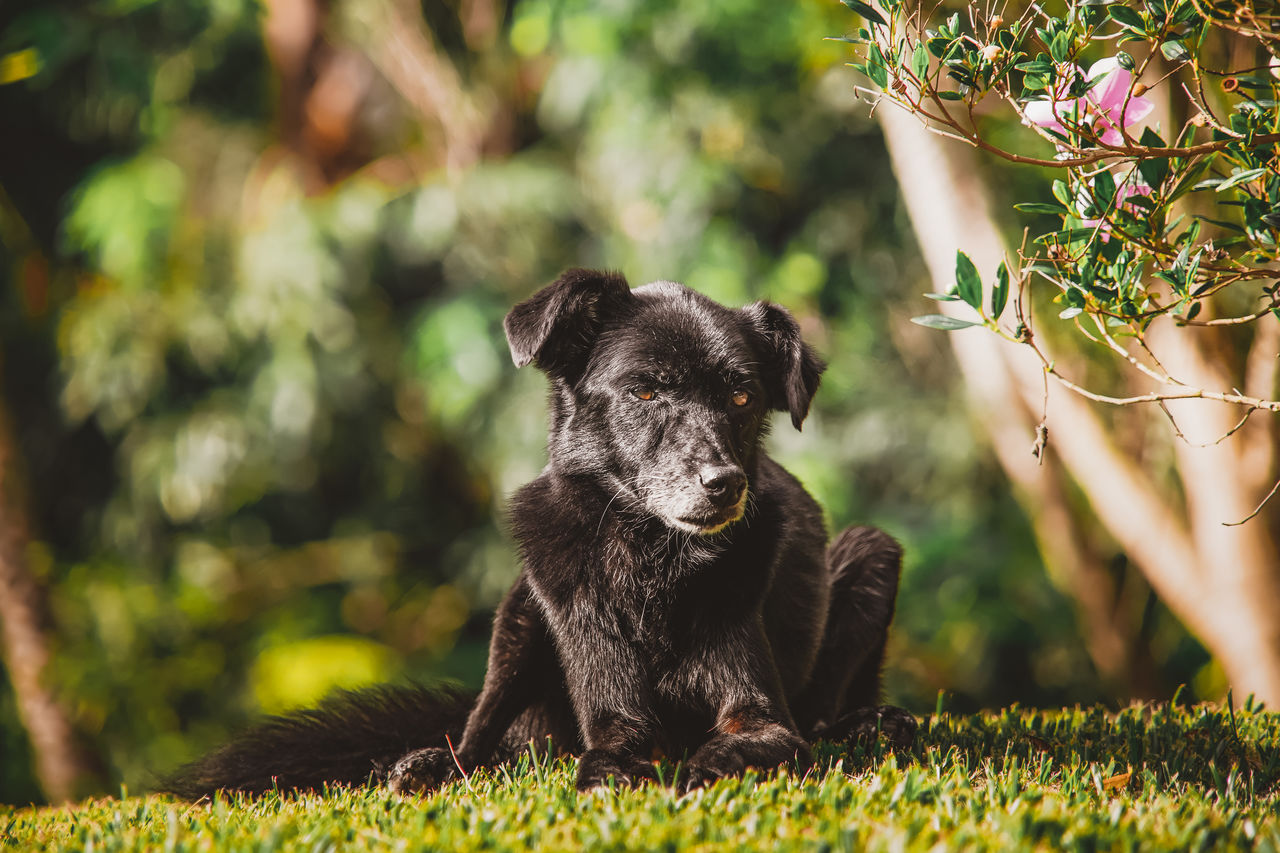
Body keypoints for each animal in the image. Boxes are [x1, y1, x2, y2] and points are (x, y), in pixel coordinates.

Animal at [167, 268, 911, 794]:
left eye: (742, 395)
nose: (724, 484)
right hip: (522, 613)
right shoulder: (610, 710)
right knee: (479, 736)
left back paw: (871, 720)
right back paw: (430, 763)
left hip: (873, 550)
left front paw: (705, 768)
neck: (650, 559)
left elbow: (745, 745)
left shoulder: (764, 717)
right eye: (644, 391)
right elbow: (608, 755)